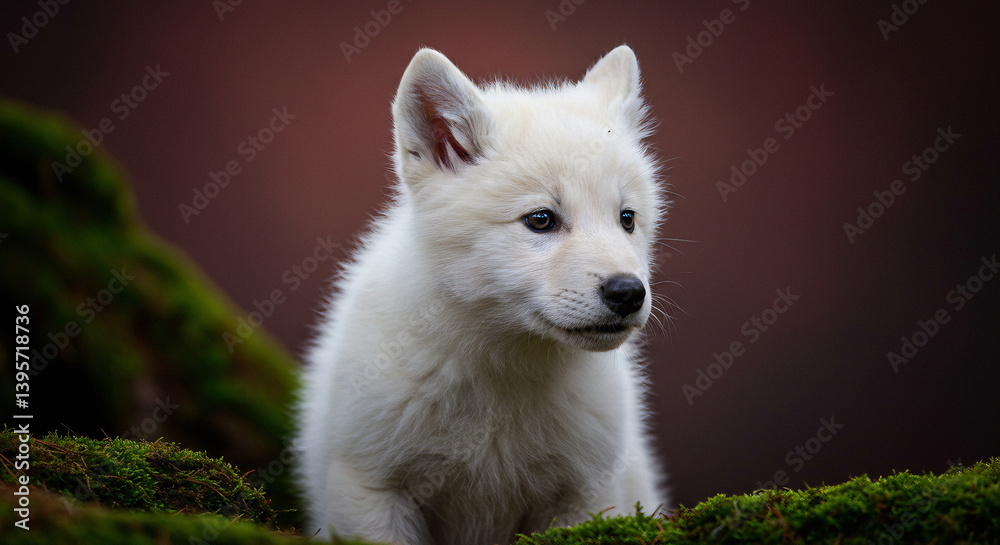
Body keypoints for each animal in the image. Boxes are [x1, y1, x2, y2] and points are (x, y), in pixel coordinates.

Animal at [295, 45, 668, 545]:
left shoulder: (585, 496)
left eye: (627, 219)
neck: (501, 375)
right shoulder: (370, 486)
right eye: (541, 220)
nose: (628, 293)